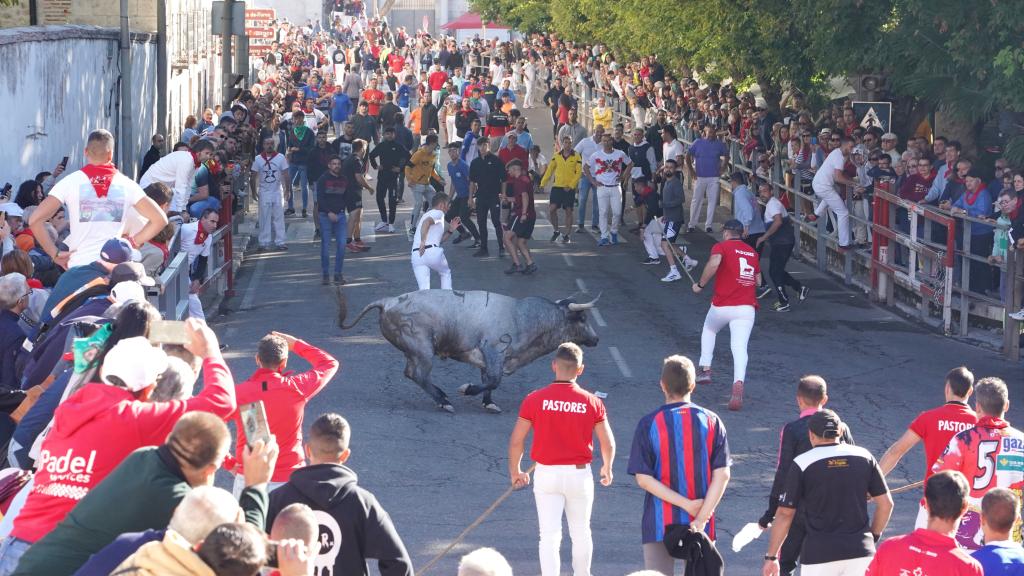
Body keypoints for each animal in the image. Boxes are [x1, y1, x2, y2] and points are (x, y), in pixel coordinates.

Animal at [344, 289, 598, 409]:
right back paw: (443, 400)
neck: (522, 317)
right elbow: (493, 380)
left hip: (414, 351)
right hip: (422, 349)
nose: (596, 339)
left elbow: (488, 379)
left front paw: (488, 402)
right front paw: (468, 390)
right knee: (417, 374)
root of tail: (389, 301)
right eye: (582, 318)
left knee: (412, 373)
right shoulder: (494, 350)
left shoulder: (489, 359)